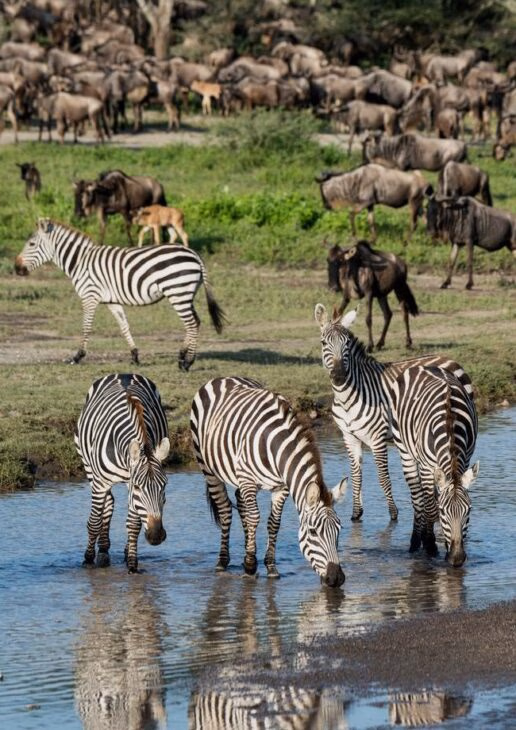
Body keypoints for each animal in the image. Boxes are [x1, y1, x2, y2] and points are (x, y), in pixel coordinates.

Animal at [14, 218, 226, 370]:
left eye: (31, 244)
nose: (16, 268)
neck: (80, 261)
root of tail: (194, 254)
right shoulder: (111, 301)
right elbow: (124, 326)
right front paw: (135, 356)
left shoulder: (89, 296)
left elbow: (86, 327)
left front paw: (77, 356)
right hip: (185, 294)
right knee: (195, 321)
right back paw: (182, 356)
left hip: (178, 292)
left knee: (191, 323)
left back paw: (187, 362)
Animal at [75, 373, 170, 573]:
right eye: (139, 487)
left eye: (164, 486)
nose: (156, 536)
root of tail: (123, 374)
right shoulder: (102, 483)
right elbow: (94, 522)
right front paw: (88, 559)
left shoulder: (130, 482)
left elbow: (133, 524)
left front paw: (132, 564)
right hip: (89, 468)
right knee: (107, 504)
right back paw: (102, 551)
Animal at [190, 376, 346, 585]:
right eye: (313, 532)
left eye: (339, 530)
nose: (336, 578)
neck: (276, 446)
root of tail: (223, 378)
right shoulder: (248, 479)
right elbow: (254, 517)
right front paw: (250, 566)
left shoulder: (281, 487)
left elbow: (274, 522)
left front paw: (270, 566)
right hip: (209, 468)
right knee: (225, 510)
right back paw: (223, 561)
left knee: (241, 504)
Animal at [314, 304, 474, 523]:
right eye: (323, 343)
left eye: (346, 344)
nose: (339, 376)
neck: (347, 397)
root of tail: (450, 359)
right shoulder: (349, 437)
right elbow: (356, 475)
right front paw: (356, 514)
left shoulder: (377, 438)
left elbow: (383, 477)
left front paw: (393, 513)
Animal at [386, 365, 479, 566]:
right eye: (443, 512)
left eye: (469, 510)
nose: (456, 559)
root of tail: (423, 366)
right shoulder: (427, 467)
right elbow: (429, 506)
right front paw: (430, 545)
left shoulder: (465, 459)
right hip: (405, 451)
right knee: (418, 498)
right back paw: (416, 541)